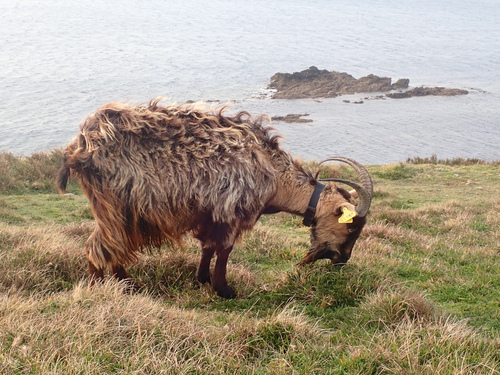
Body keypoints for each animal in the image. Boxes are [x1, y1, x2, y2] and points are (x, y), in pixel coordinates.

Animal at [57, 100, 372, 300]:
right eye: (352, 226)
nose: (342, 260)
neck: (272, 173)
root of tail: (79, 146)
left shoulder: (210, 214)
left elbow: (208, 247)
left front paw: (202, 279)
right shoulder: (232, 210)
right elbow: (224, 250)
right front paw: (224, 290)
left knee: (111, 244)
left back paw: (126, 282)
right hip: (115, 205)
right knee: (99, 246)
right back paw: (101, 290)